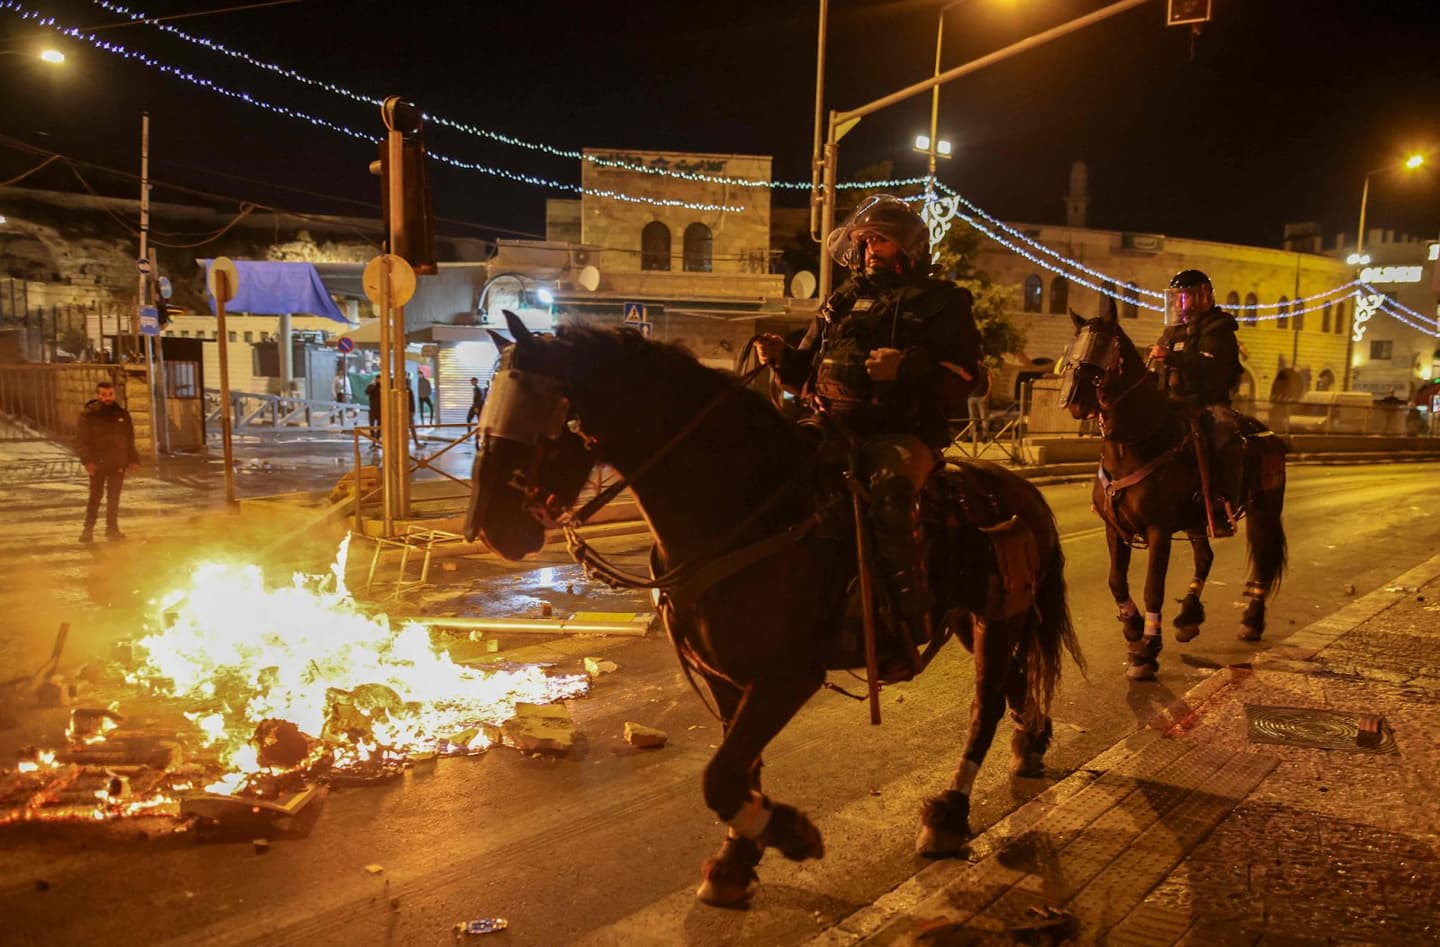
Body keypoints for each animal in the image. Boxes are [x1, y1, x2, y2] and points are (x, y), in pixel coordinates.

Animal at [463, 313, 1082, 903]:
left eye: (540, 413)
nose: (489, 529)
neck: (745, 508)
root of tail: (1021, 491)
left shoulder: (787, 676)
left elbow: (720, 775)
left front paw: (790, 833)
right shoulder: (726, 676)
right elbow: (740, 768)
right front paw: (738, 858)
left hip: (997, 620)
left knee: (985, 707)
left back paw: (949, 814)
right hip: (970, 622)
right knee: (1014, 687)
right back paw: (1032, 742)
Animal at [1054, 303, 1290, 679]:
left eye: (1103, 349)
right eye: (1073, 349)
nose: (1073, 401)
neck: (1138, 443)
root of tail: (1265, 432)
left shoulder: (1158, 530)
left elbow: (1153, 588)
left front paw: (1148, 649)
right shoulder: (1114, 529)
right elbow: (1116, 581)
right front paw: (1133, 628)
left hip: (1263, 510)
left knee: (1263, 559)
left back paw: (1252, 620)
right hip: (1197, 518)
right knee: (1205, 558)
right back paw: (1188, 616)